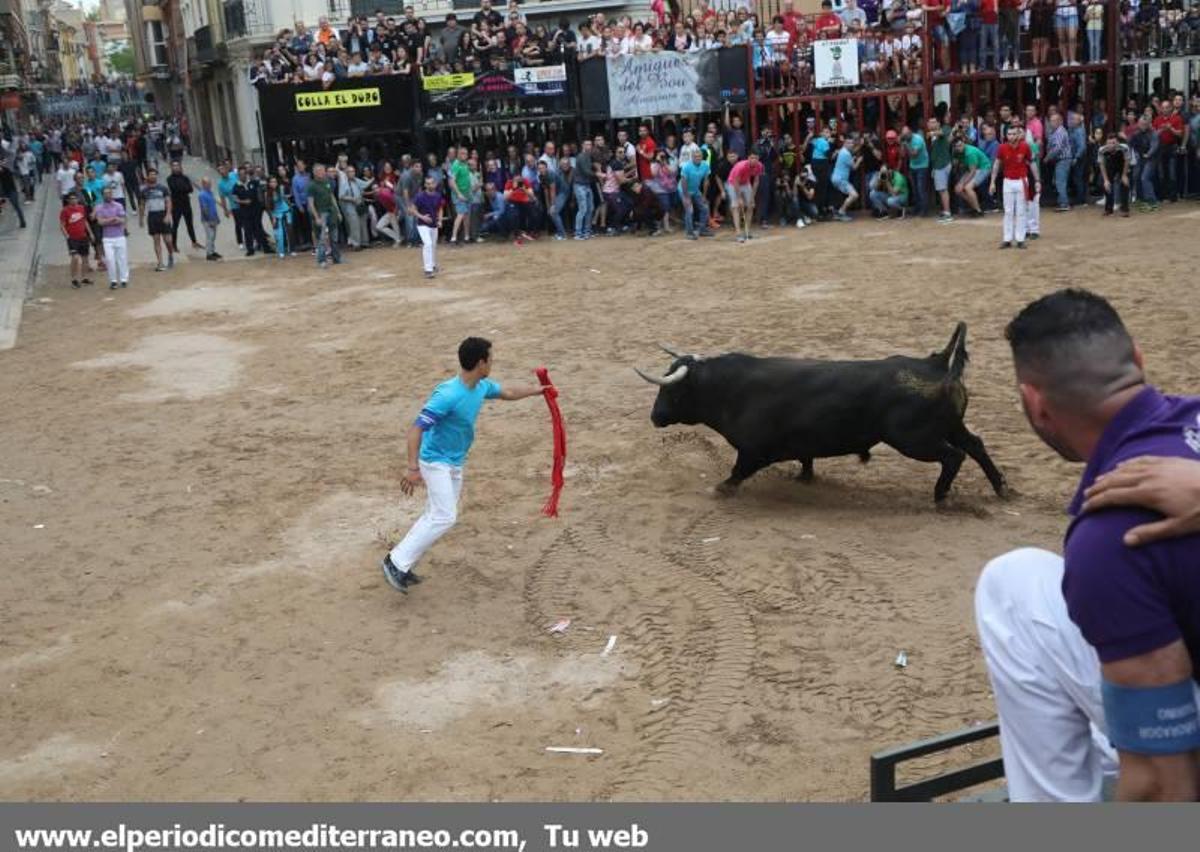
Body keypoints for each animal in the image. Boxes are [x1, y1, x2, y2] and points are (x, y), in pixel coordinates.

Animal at [634, 323, 1008, 503]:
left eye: (671, 389)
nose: (655, 416)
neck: (729, 389)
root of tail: (936, 364)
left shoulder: (753, 451)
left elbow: (737, 472)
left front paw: (719, 490)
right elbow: (805, 459)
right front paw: (804, 477)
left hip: (915, 439)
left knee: (954, 456)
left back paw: (941, 496)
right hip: (951, 426)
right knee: (975, 445)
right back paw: (1004, 489)